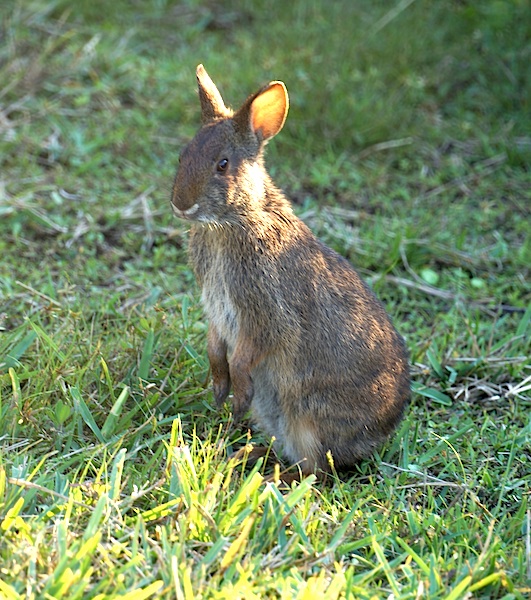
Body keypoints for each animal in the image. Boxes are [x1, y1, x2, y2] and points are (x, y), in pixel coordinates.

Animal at [171, 64, 412, 478]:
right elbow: (216, 346)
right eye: (185, 153)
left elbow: (246, 355)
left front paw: (235, 393)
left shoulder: (267, 313)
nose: (181, 205)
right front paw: (220, 390)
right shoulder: (217, 311)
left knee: (314, 470)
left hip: (307, 418)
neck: (234, 222)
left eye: (223, 164)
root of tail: (379, 435)